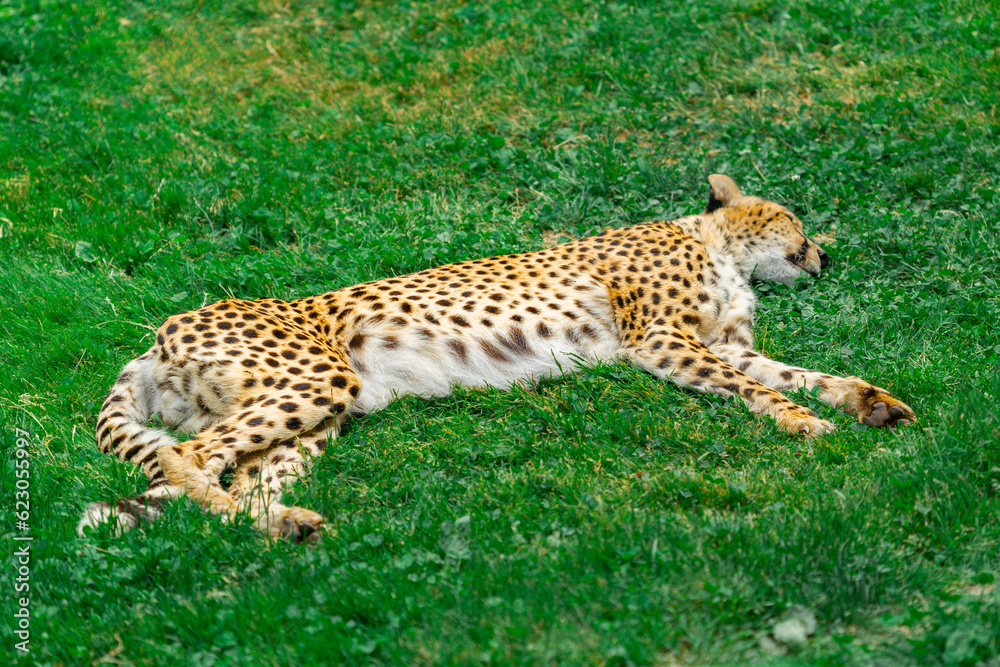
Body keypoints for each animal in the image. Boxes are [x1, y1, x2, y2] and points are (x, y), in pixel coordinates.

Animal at [78, 175, 915, 543]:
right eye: (794, 219)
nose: (824, 255)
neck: (717, 246)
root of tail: (159, 335)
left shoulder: (722, 342)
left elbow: (797, 374)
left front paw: (868, 401)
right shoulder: (665, 341)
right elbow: (756, 387)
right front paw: (803, 424)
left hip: (315, 416)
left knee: (236, 475)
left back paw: (289, 526)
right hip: (317, 380)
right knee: (187, 457)